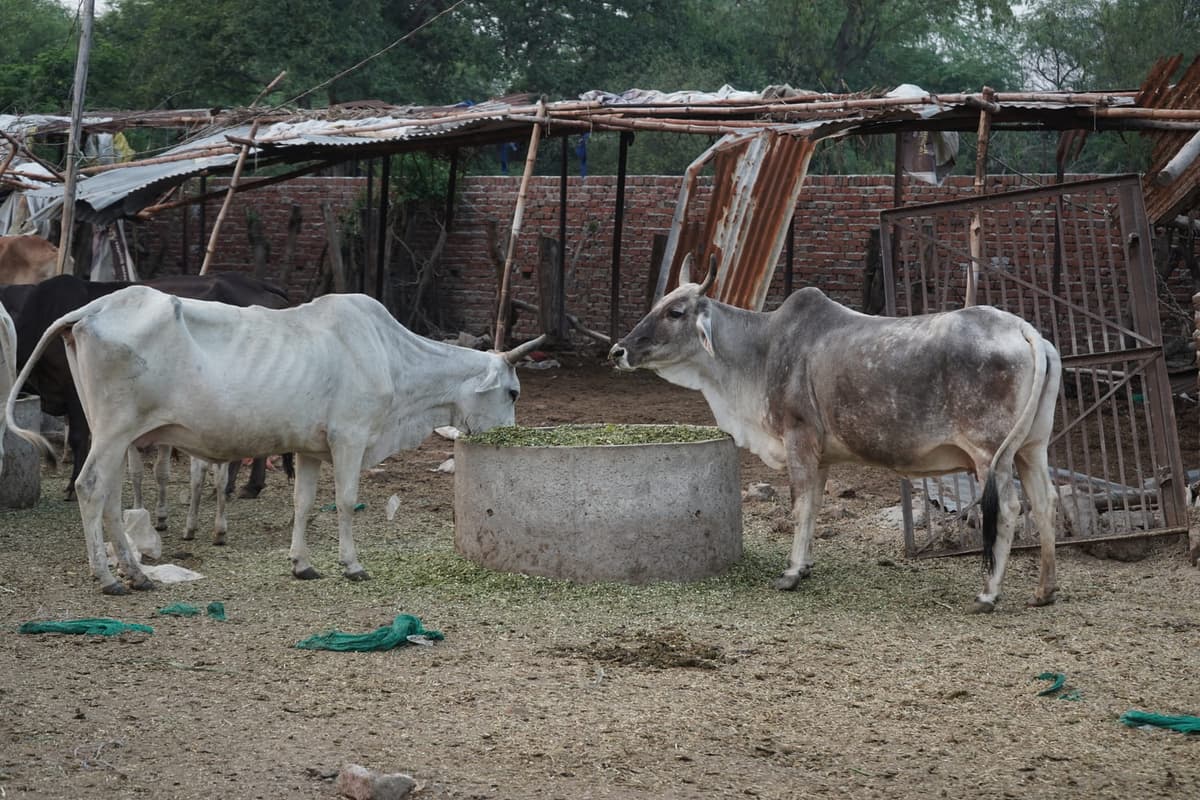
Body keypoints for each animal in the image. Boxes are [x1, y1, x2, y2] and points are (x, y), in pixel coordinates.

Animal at [5, 285, 544, 595]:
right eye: (513, 391)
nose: (511, 434)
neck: (391, 355)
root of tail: (92, 307)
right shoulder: (350, 438)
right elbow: (345, 502)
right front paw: (352, 565)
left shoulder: (309, 449)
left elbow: (303, 504)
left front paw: (302, 564)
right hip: (115, 430)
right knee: (90, 487)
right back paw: (108, 577)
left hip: (115, 435)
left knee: (112, 497)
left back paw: (135, 574)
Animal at [609, 256, 1062, 612]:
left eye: (676, 312)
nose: (619, 350)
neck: (761, 351)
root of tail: (1025, 330)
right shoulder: (820, 454)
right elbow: (813, 507)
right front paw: (805, 565)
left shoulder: (798, 438)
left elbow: (799, 506)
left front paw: (791, 572)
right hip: (1031, 449)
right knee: (1045, 503)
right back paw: (1044, 590)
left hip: (991, 455)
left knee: (1008, 509)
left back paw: (988, 594)